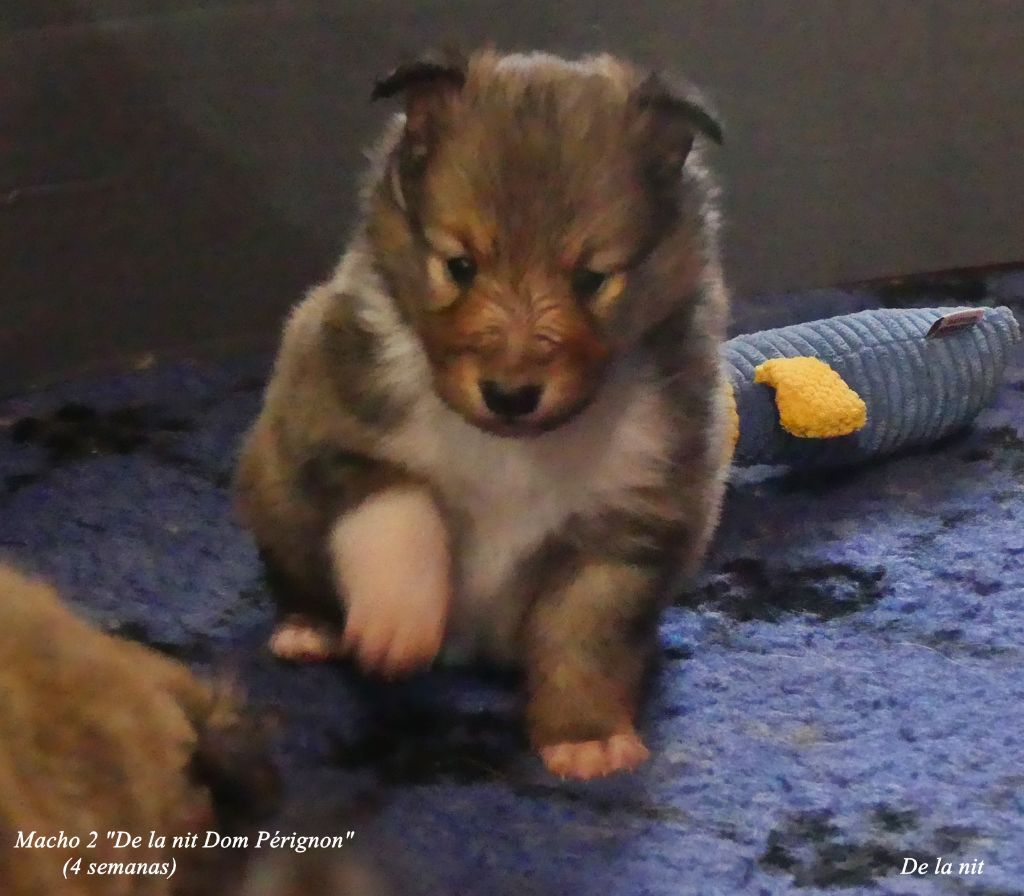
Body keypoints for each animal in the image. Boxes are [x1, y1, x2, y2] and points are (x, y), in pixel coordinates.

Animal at [236, 48, 731, 780]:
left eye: (591, 278)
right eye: (460, 265)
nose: (511, 395)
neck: (512, 448)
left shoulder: (628, 523)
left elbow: (585, 635)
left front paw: (586, 739)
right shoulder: (327, 423)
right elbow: (401, 503)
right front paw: (396, 622)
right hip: (273, 492)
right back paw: (308, 630)